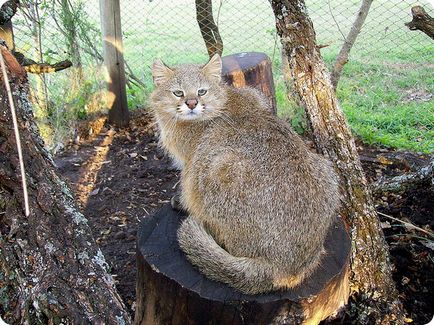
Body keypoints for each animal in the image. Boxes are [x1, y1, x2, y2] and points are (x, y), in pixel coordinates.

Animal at [151, 53, 340, 294]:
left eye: (201, 91)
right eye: (178, 92)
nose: (191, 103)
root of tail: (282, 267)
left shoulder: (190, 165)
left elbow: (184, 188)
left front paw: (180, 201)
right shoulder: (256, 96)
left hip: (217, 166)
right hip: (325, 168)